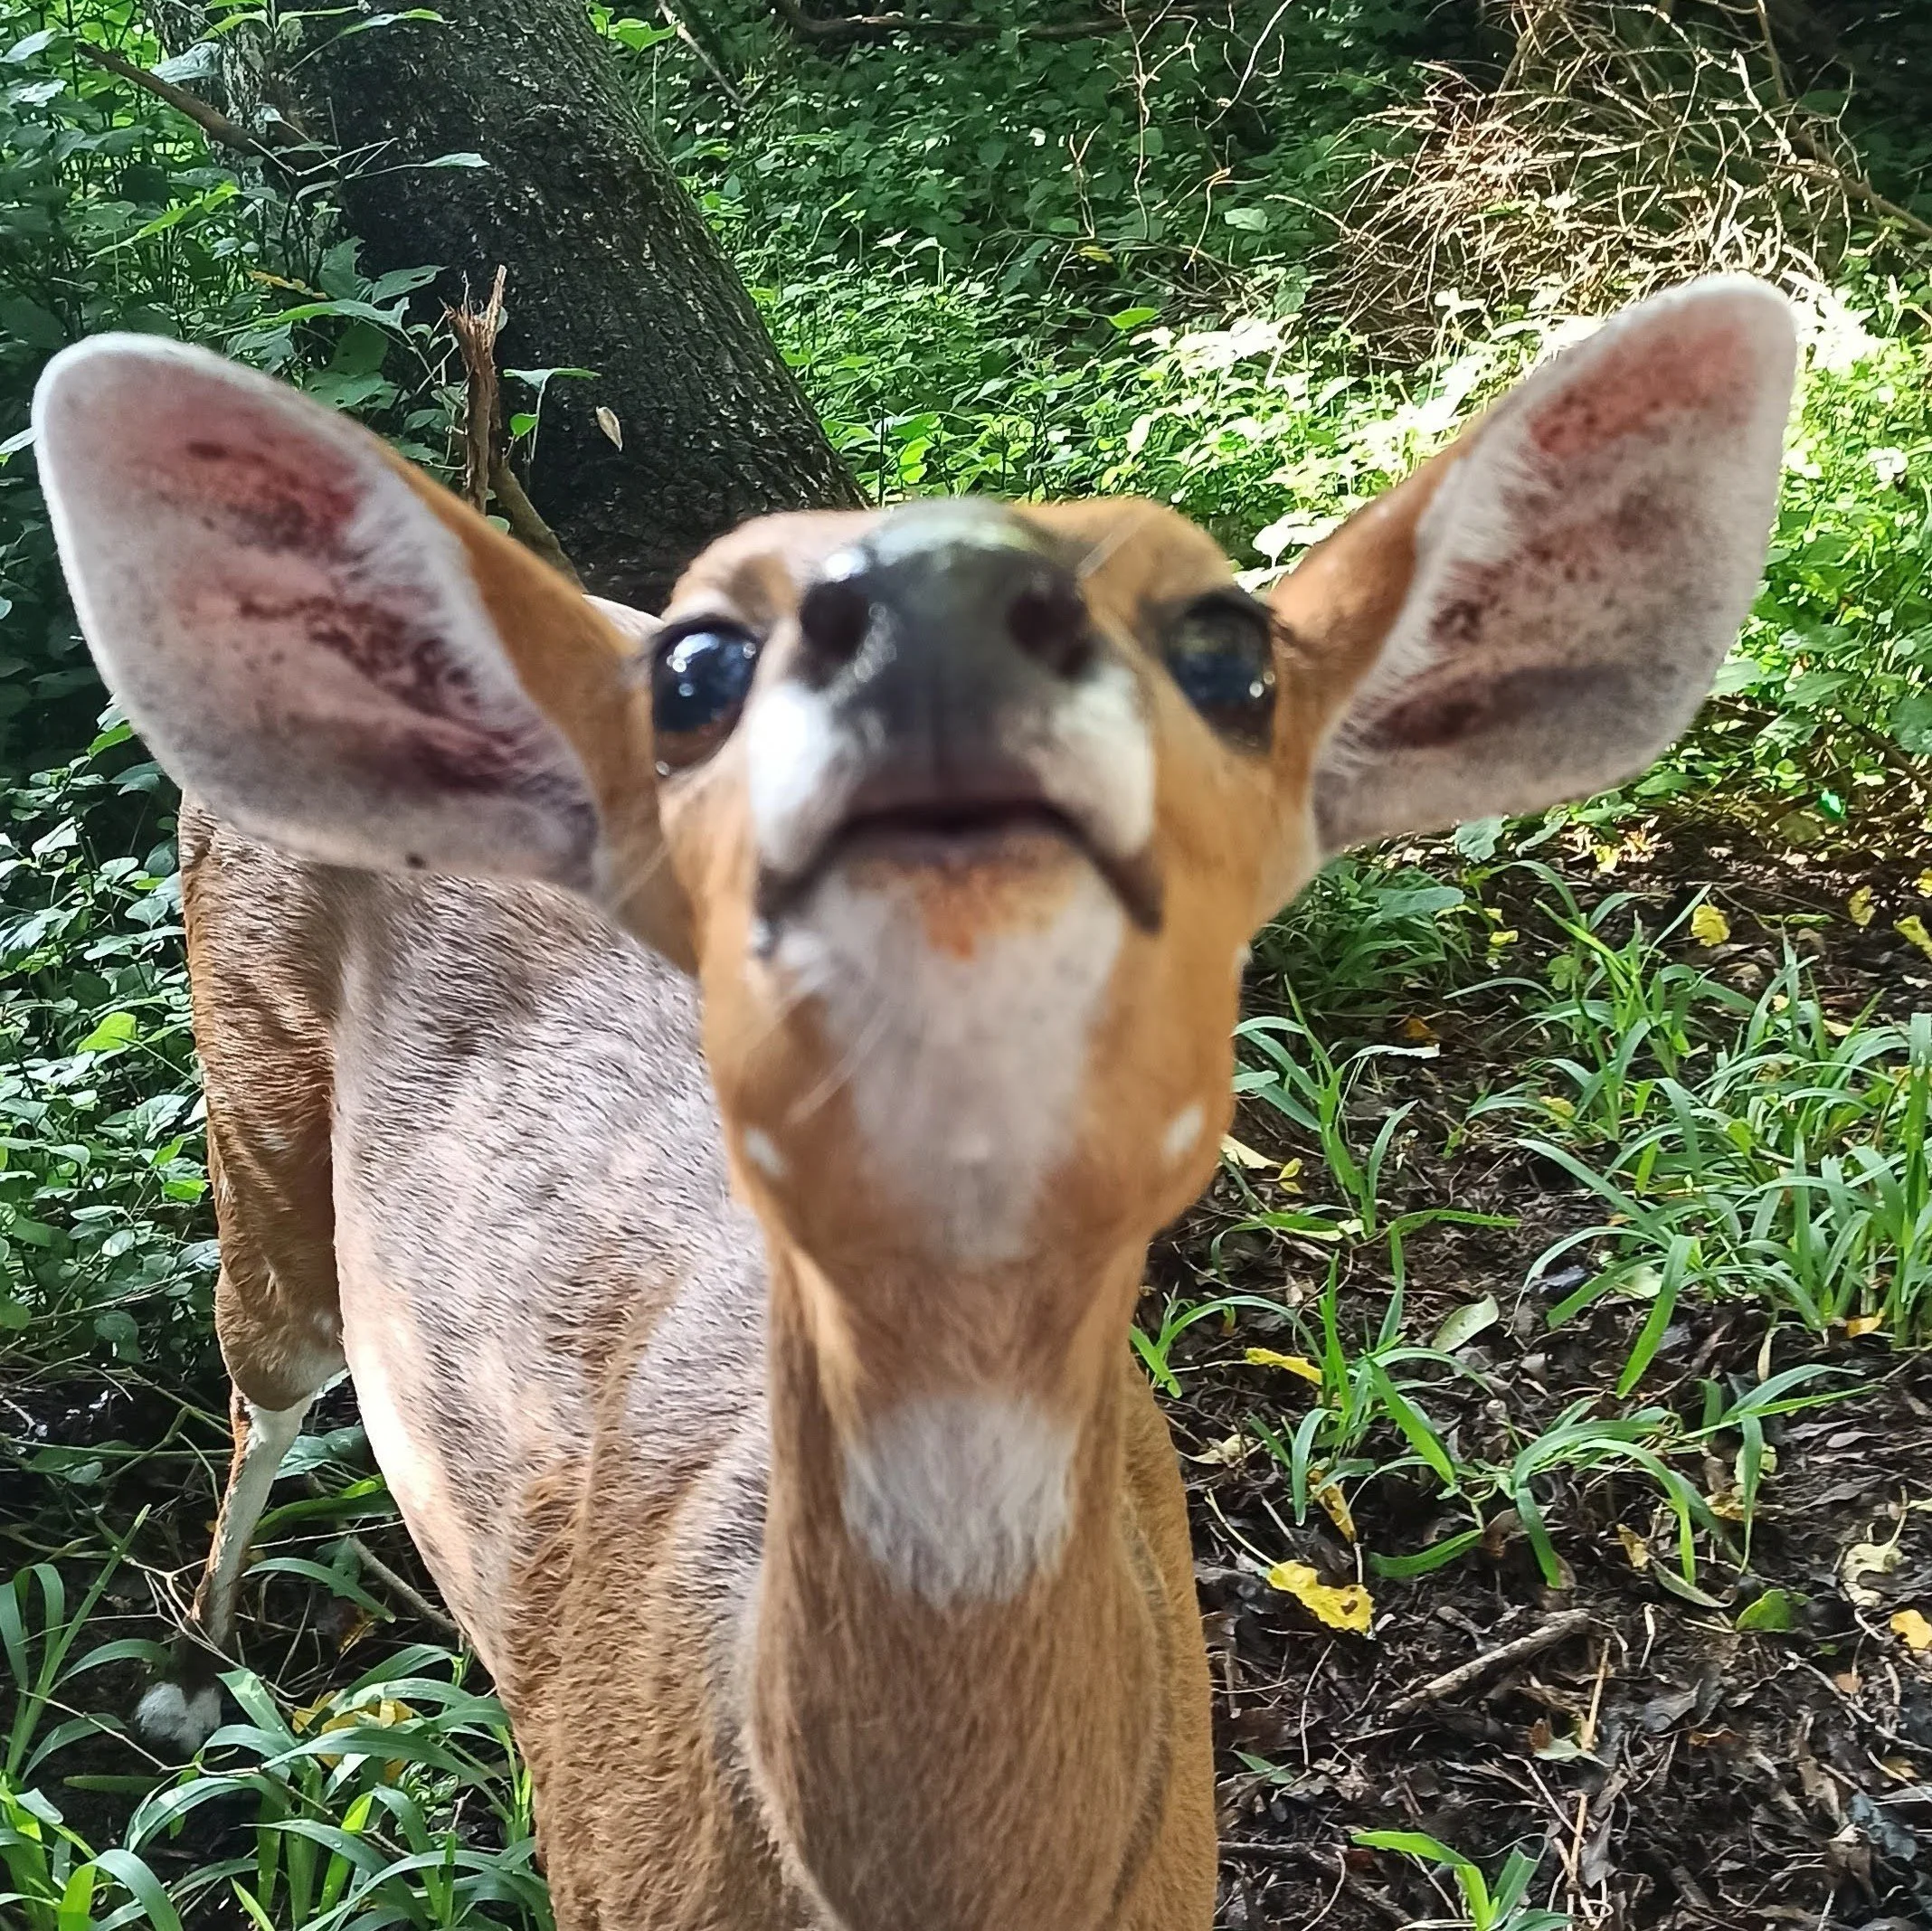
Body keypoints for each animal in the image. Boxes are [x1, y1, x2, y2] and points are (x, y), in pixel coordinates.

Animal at [32, 275, 1795, 1931]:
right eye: (700, 665)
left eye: (1228, 647)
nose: (934, 603)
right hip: (250, 1085)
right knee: (258, 1370)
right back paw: (188, 1681)